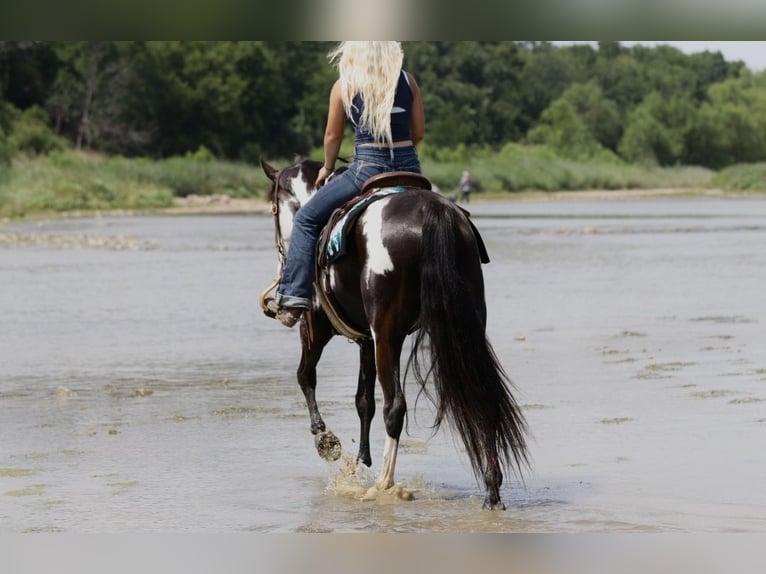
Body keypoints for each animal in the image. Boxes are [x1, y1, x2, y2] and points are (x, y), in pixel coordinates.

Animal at [259, 157, 528, 509]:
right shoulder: (366, 339)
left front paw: (325, 440)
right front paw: (361, 461)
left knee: (394, 406)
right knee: (481, 396)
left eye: (274, 208)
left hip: (386, 332)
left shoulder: (316, 325)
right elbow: (363, 400)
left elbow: (306, 376)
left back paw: (384, 484)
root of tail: (430, 212)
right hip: (463, 324)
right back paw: (492, 491)